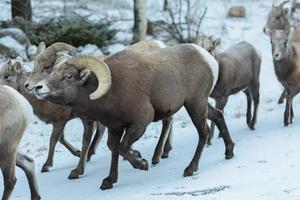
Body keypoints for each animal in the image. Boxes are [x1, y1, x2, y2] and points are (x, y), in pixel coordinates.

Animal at [32, 41, 234, 189]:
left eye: (67, 76)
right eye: (52, 71)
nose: (38, 88)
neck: (112, 90)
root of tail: (208, 59)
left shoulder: (140, 123)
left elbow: (122, 148)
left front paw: (142, 164)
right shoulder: (115, 128)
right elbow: (114, 148)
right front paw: (109, 181)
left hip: (195, 104)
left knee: (203, 131)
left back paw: (189, 169)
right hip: (200, 103)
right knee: (218, 115)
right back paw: (229, 152)